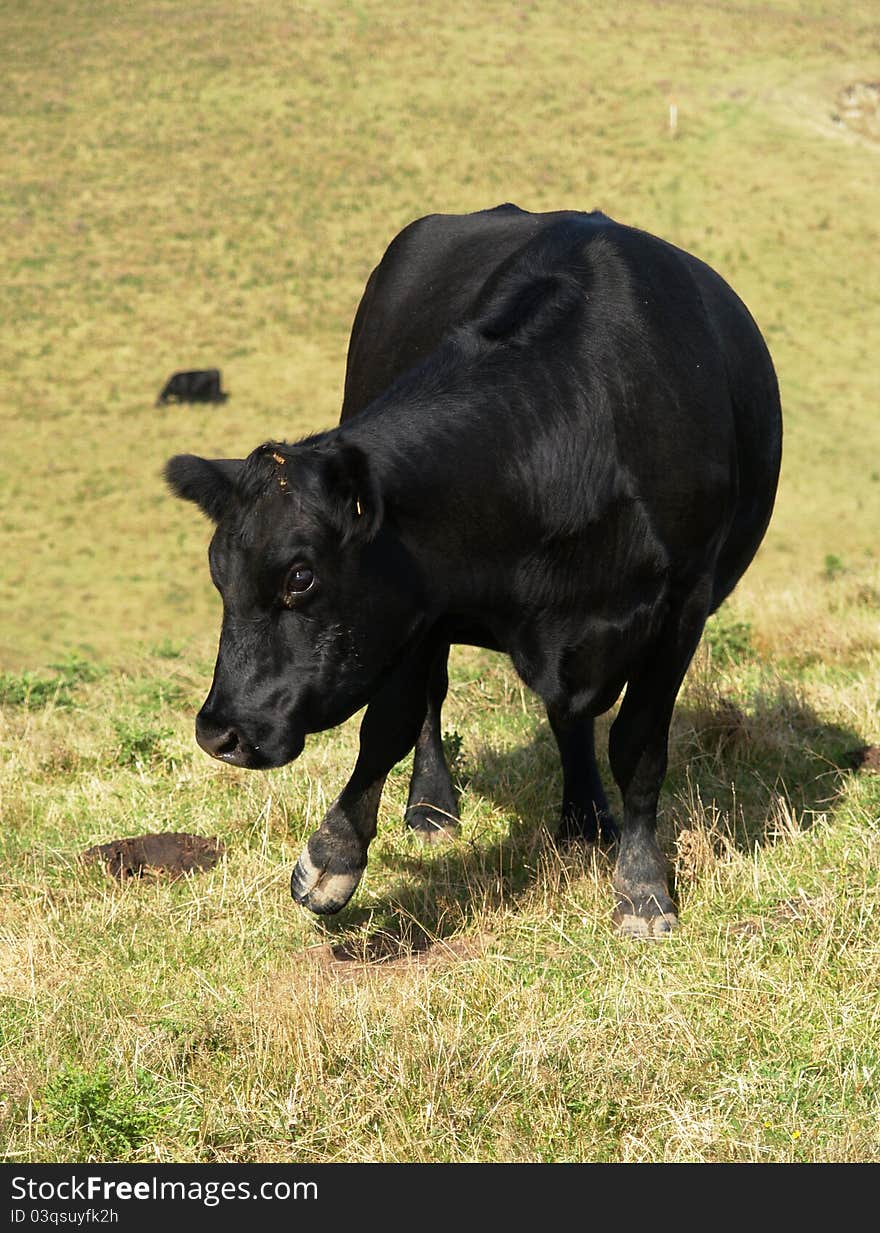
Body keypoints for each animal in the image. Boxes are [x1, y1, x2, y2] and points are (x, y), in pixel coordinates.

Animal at [166, 204, 783, 932]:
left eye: (300, 576)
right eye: (218, 573)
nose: (218, 732)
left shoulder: (683, 602)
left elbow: (638, 746)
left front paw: (641, 887)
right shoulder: (418, 600)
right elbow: (391, 721)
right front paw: (334, 855)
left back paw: (585, 815)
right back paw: (435, 805)